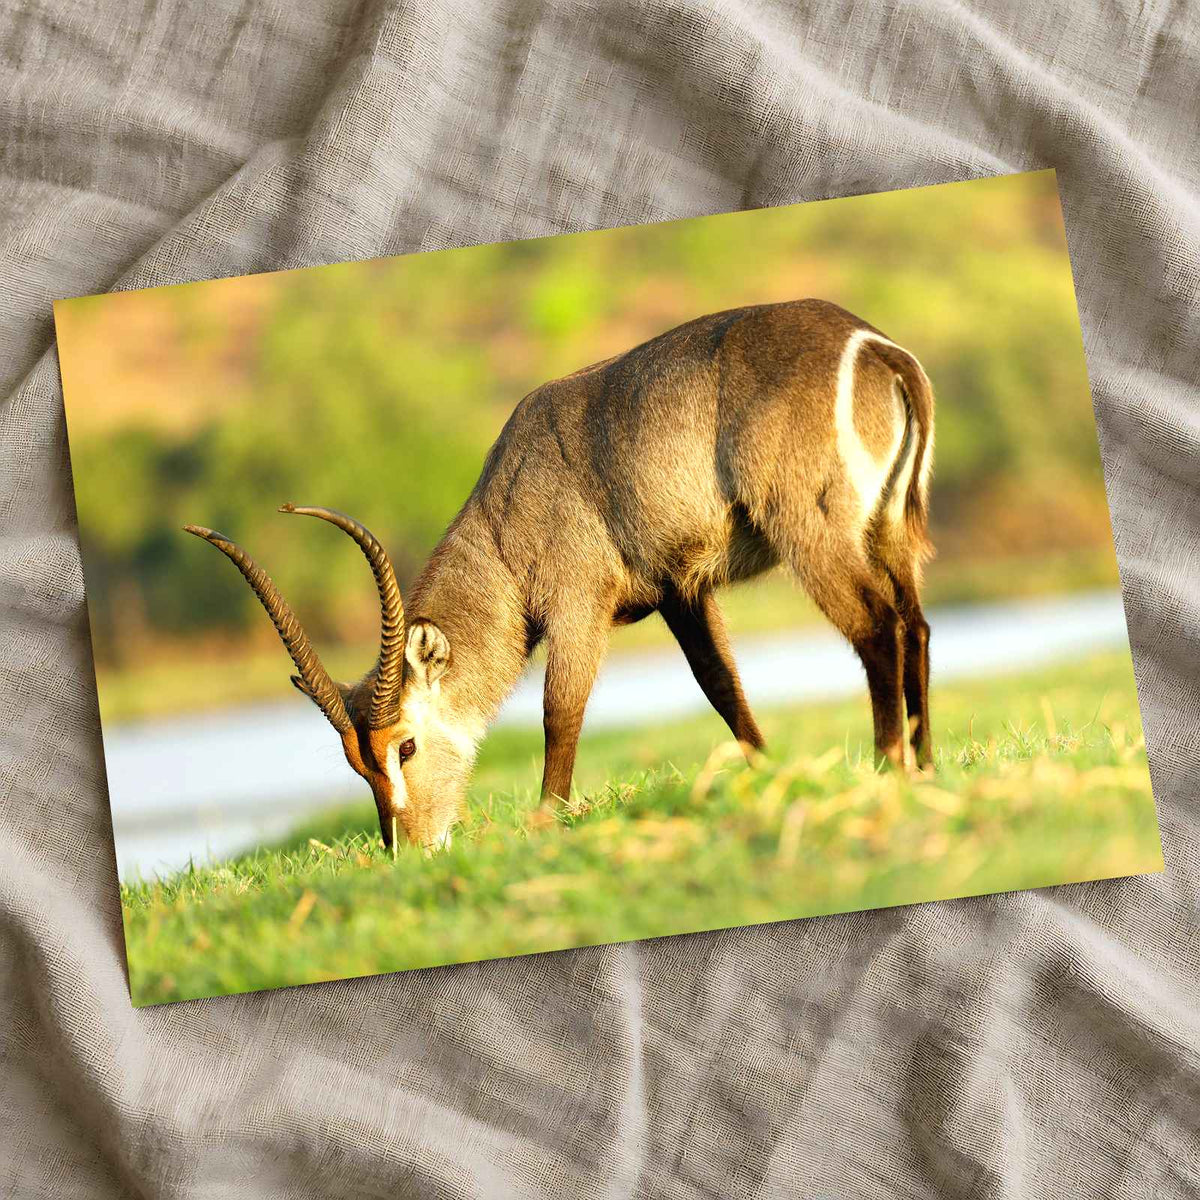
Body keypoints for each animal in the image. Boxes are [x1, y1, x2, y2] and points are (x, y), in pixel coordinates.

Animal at [186, 299, 934, 852]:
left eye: (405, 745)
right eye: (354, 761)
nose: (408, 851)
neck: (504, 515)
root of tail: (870, 344)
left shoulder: (580, 607)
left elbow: (560, 711)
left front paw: (546, 821)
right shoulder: (683, 592)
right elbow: (721, 686)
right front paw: (764, 770)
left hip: (814, 533)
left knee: (874, 626)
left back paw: (888, 764)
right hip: (888, 531)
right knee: (916, 626)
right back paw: (925, 765)